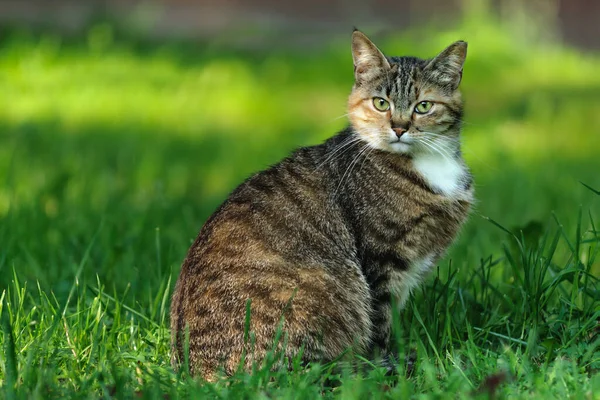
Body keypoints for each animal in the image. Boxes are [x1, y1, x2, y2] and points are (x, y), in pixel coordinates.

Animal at [169, 29, 474, 380]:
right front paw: (388, 366)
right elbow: (380, 327)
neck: (428, 164)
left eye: (423, 106)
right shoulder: (381, 261)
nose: (399, 127)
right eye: (380, 103)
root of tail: (196, 374)